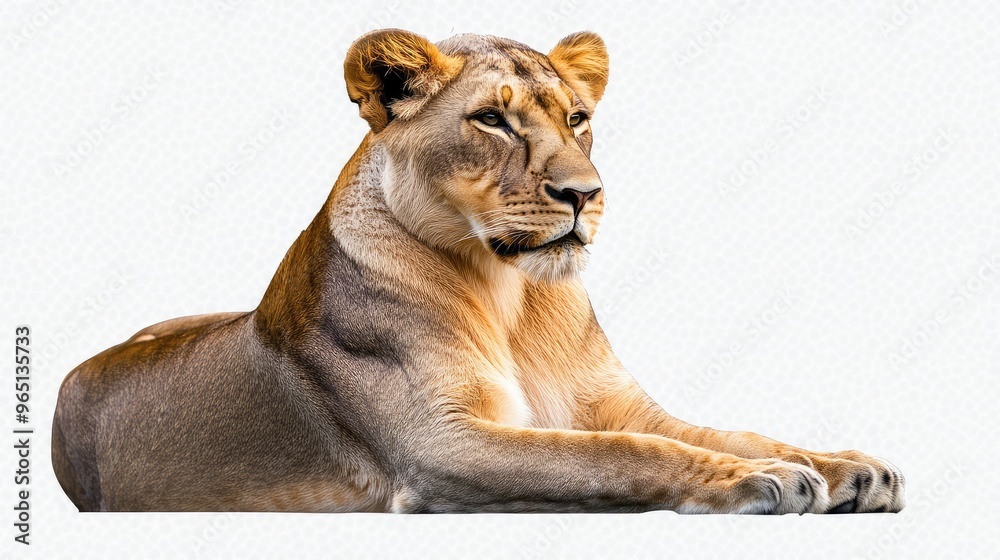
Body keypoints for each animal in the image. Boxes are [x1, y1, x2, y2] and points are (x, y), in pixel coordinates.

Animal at [51, 29, 904, 514]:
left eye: (578, 118)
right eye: (492, 119)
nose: (584, 194)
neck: (514, 299)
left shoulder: (621, 405)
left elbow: (732, 431)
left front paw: (844, 468)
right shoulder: (442, 447)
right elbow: (615, 457)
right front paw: (761, 482)